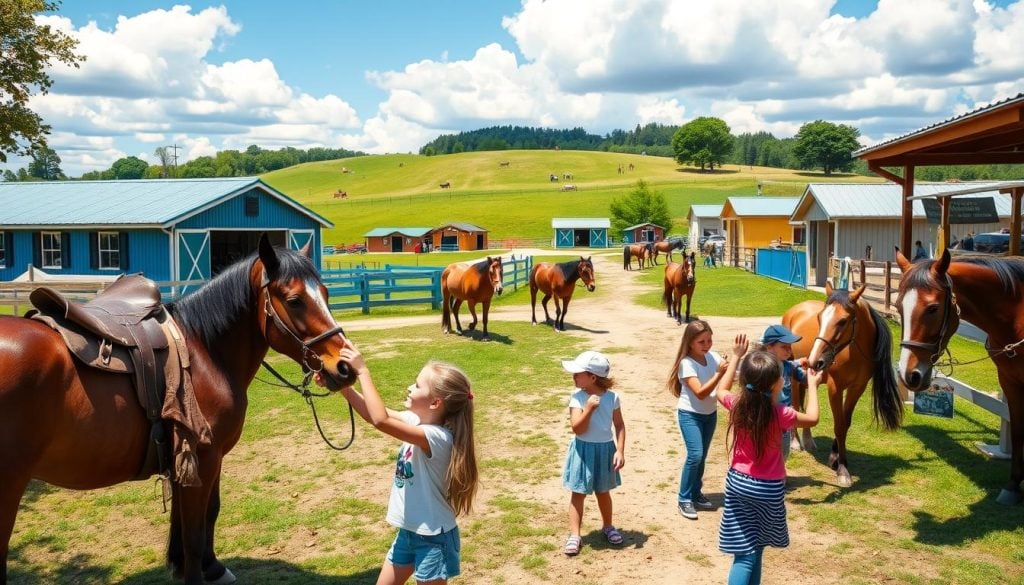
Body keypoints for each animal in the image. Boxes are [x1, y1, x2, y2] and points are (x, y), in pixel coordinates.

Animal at [0, 234, 360, 585]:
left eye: (326, 293)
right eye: (295, 300)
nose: (345, 367)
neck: (204, 352)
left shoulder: (200, 458)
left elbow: (208, 514)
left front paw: (212, 568)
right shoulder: (203, 455)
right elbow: (193, 536)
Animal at [782, 280, 905, 487]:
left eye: (843, 321)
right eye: (819, 318)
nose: (815, 360)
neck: (852, 351)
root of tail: (794, 310)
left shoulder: (857, 388)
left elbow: (845, 423)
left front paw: (836, 459)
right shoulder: (835, 389)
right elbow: (838, 425)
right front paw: (842, 470)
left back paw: (808, 441)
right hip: (793, 375)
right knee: (795, 405)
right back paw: (796, 442)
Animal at [892, 249, 1024, 506]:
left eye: (932, 308)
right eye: (898, 306)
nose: (909, 375)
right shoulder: (1010, 381)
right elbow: (1018, 431)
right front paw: (1013, 486)